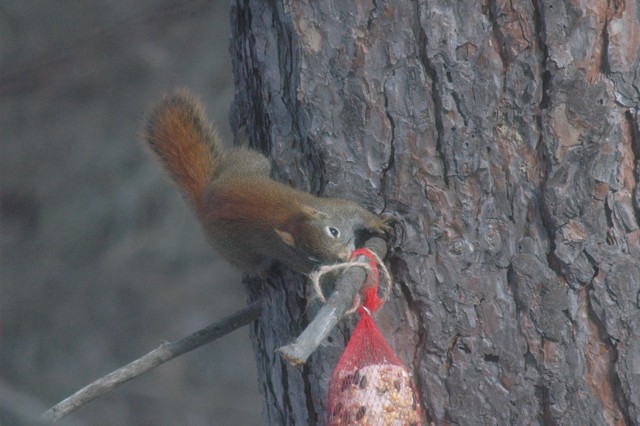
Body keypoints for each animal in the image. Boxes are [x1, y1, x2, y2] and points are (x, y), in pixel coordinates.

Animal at [143, 90, 393, 274]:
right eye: (312, 256)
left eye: (333, 231)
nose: (342, 256)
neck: (293, 218)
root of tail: (206, 201)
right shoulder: (294, 258)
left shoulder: (338, 208)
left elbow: (358, 211)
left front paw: (379, 224)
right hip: (238, 252)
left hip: (250, 164)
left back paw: (242, 137)